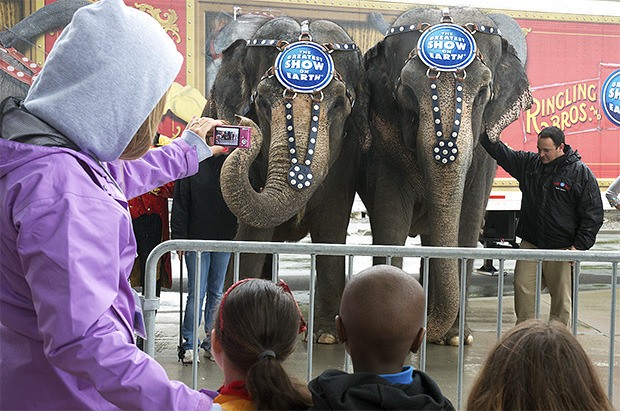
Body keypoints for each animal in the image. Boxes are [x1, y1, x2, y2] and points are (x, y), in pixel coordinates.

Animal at [208, 16, 370, 344]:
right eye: (261, 102)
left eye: (339, 104)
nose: (240, 123)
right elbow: (254, 233)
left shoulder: (346, 159)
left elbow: (332, 226)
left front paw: (326, 336)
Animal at [360, 8, 532, 346]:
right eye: (406, 91)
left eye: (483, 92)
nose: (424, 330)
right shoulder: (384, 148)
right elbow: (390, 223)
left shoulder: (482, 158)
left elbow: (467, 225)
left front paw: (455, 338)